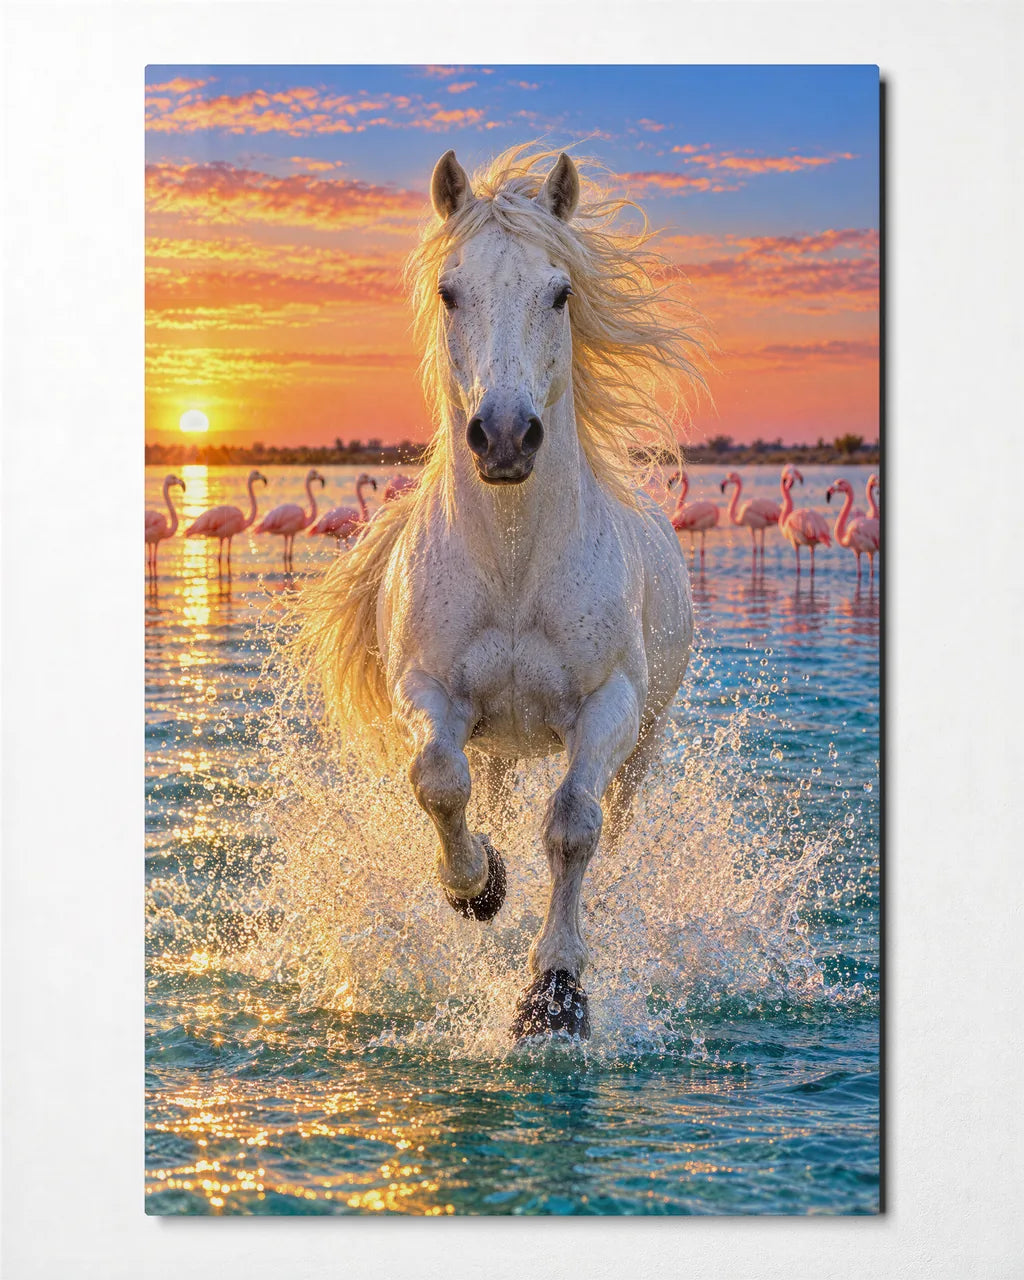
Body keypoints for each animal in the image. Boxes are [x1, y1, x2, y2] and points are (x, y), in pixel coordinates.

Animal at [295, 146, 707, 1042]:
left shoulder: (609, 705)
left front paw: (554, 994)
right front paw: (478, 886)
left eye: (561, 292)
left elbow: (574, 827)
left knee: (614, 821)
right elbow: (438, 781)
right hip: (502, 739)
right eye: (451, 291)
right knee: (481, 784)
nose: (507, 437)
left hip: (644, 740)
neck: (515, 564)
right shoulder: (428, 690)